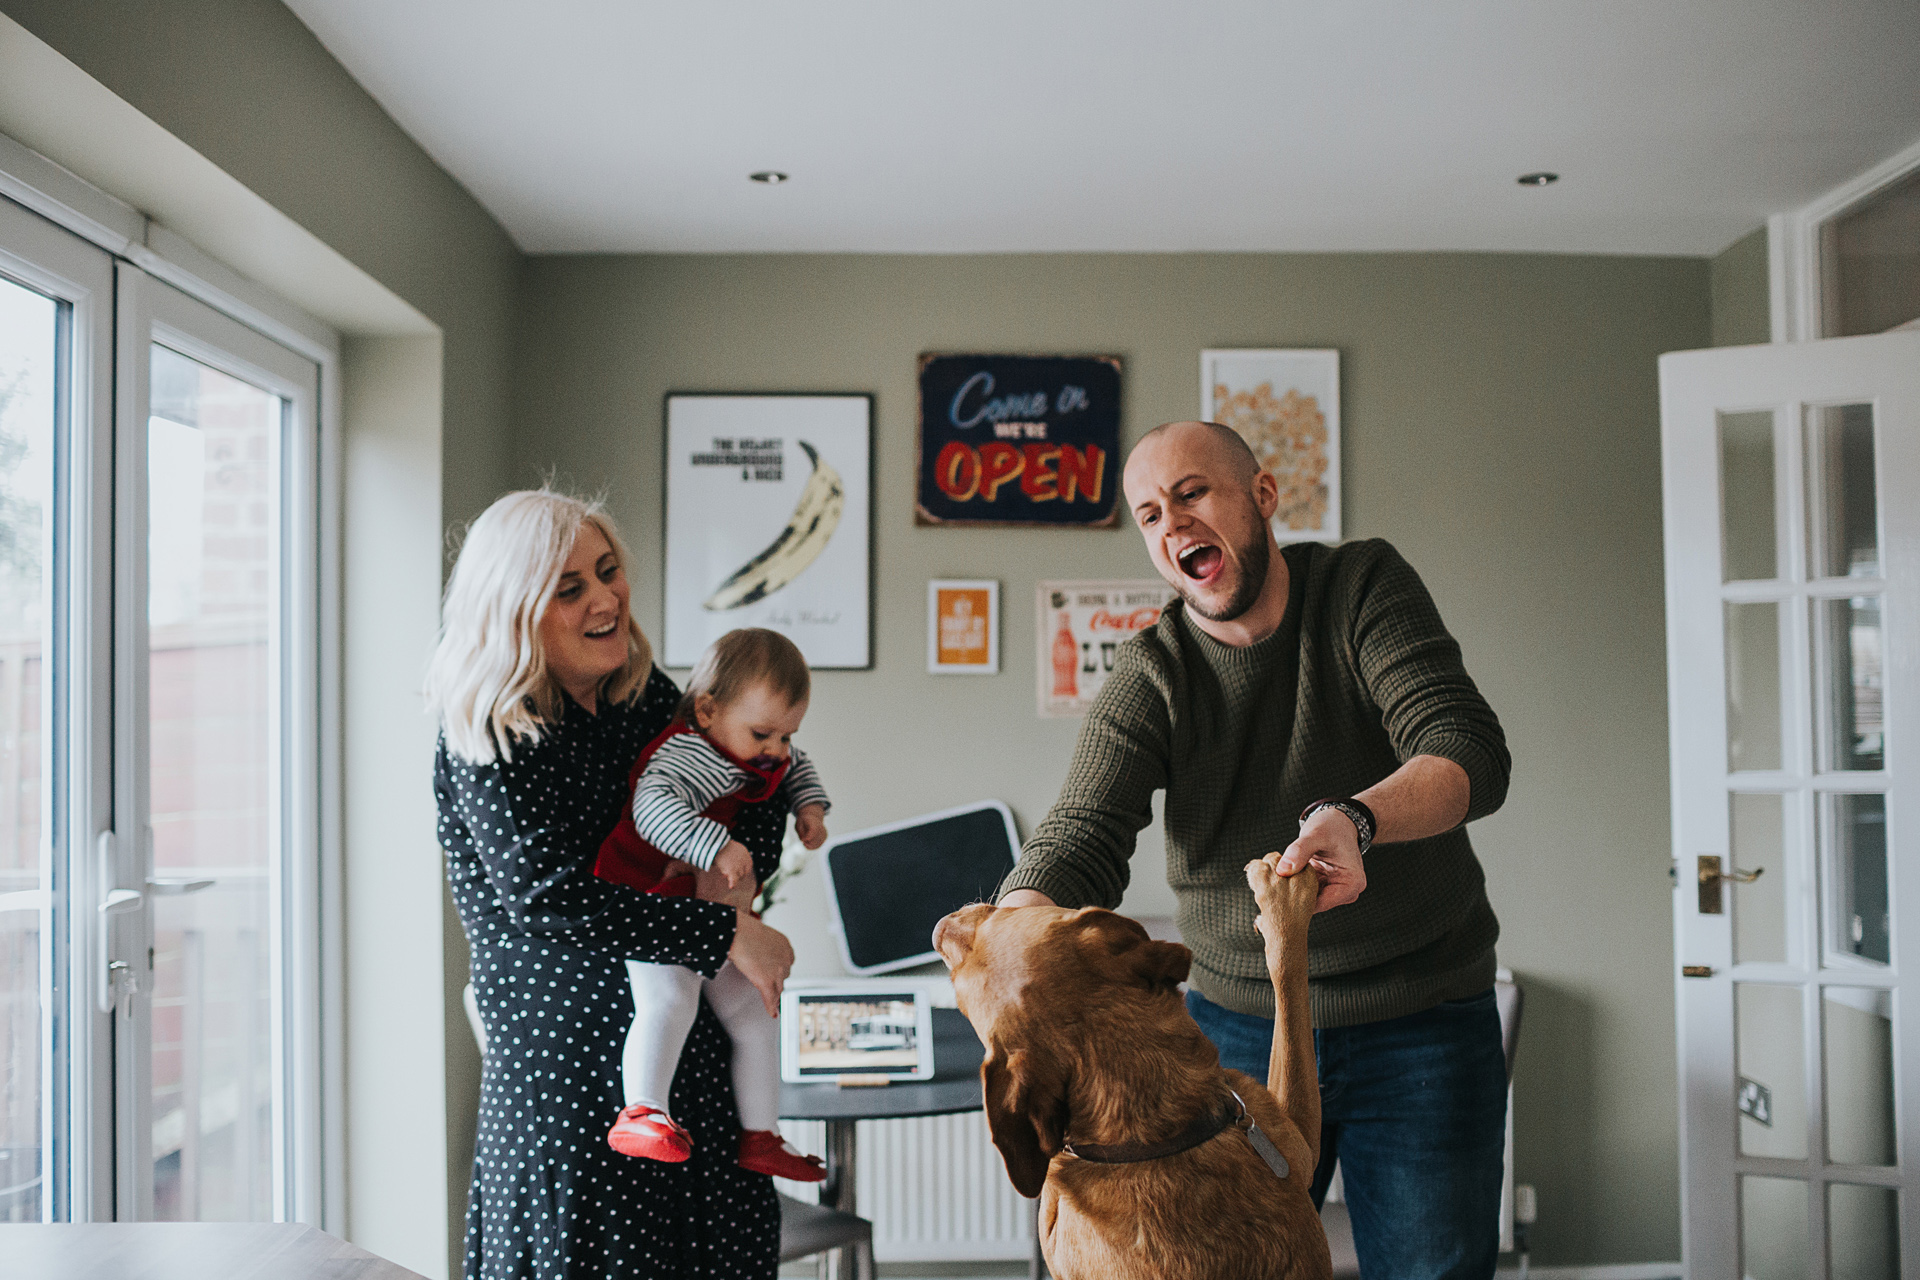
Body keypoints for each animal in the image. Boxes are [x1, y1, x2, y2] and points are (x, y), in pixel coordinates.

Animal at [933, 859, 1328, 1280]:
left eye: (999, 917)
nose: (938, 928)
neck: (1151, 1132)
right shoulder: (1299, 1146)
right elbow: (1288, 975)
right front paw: (1283, 896)